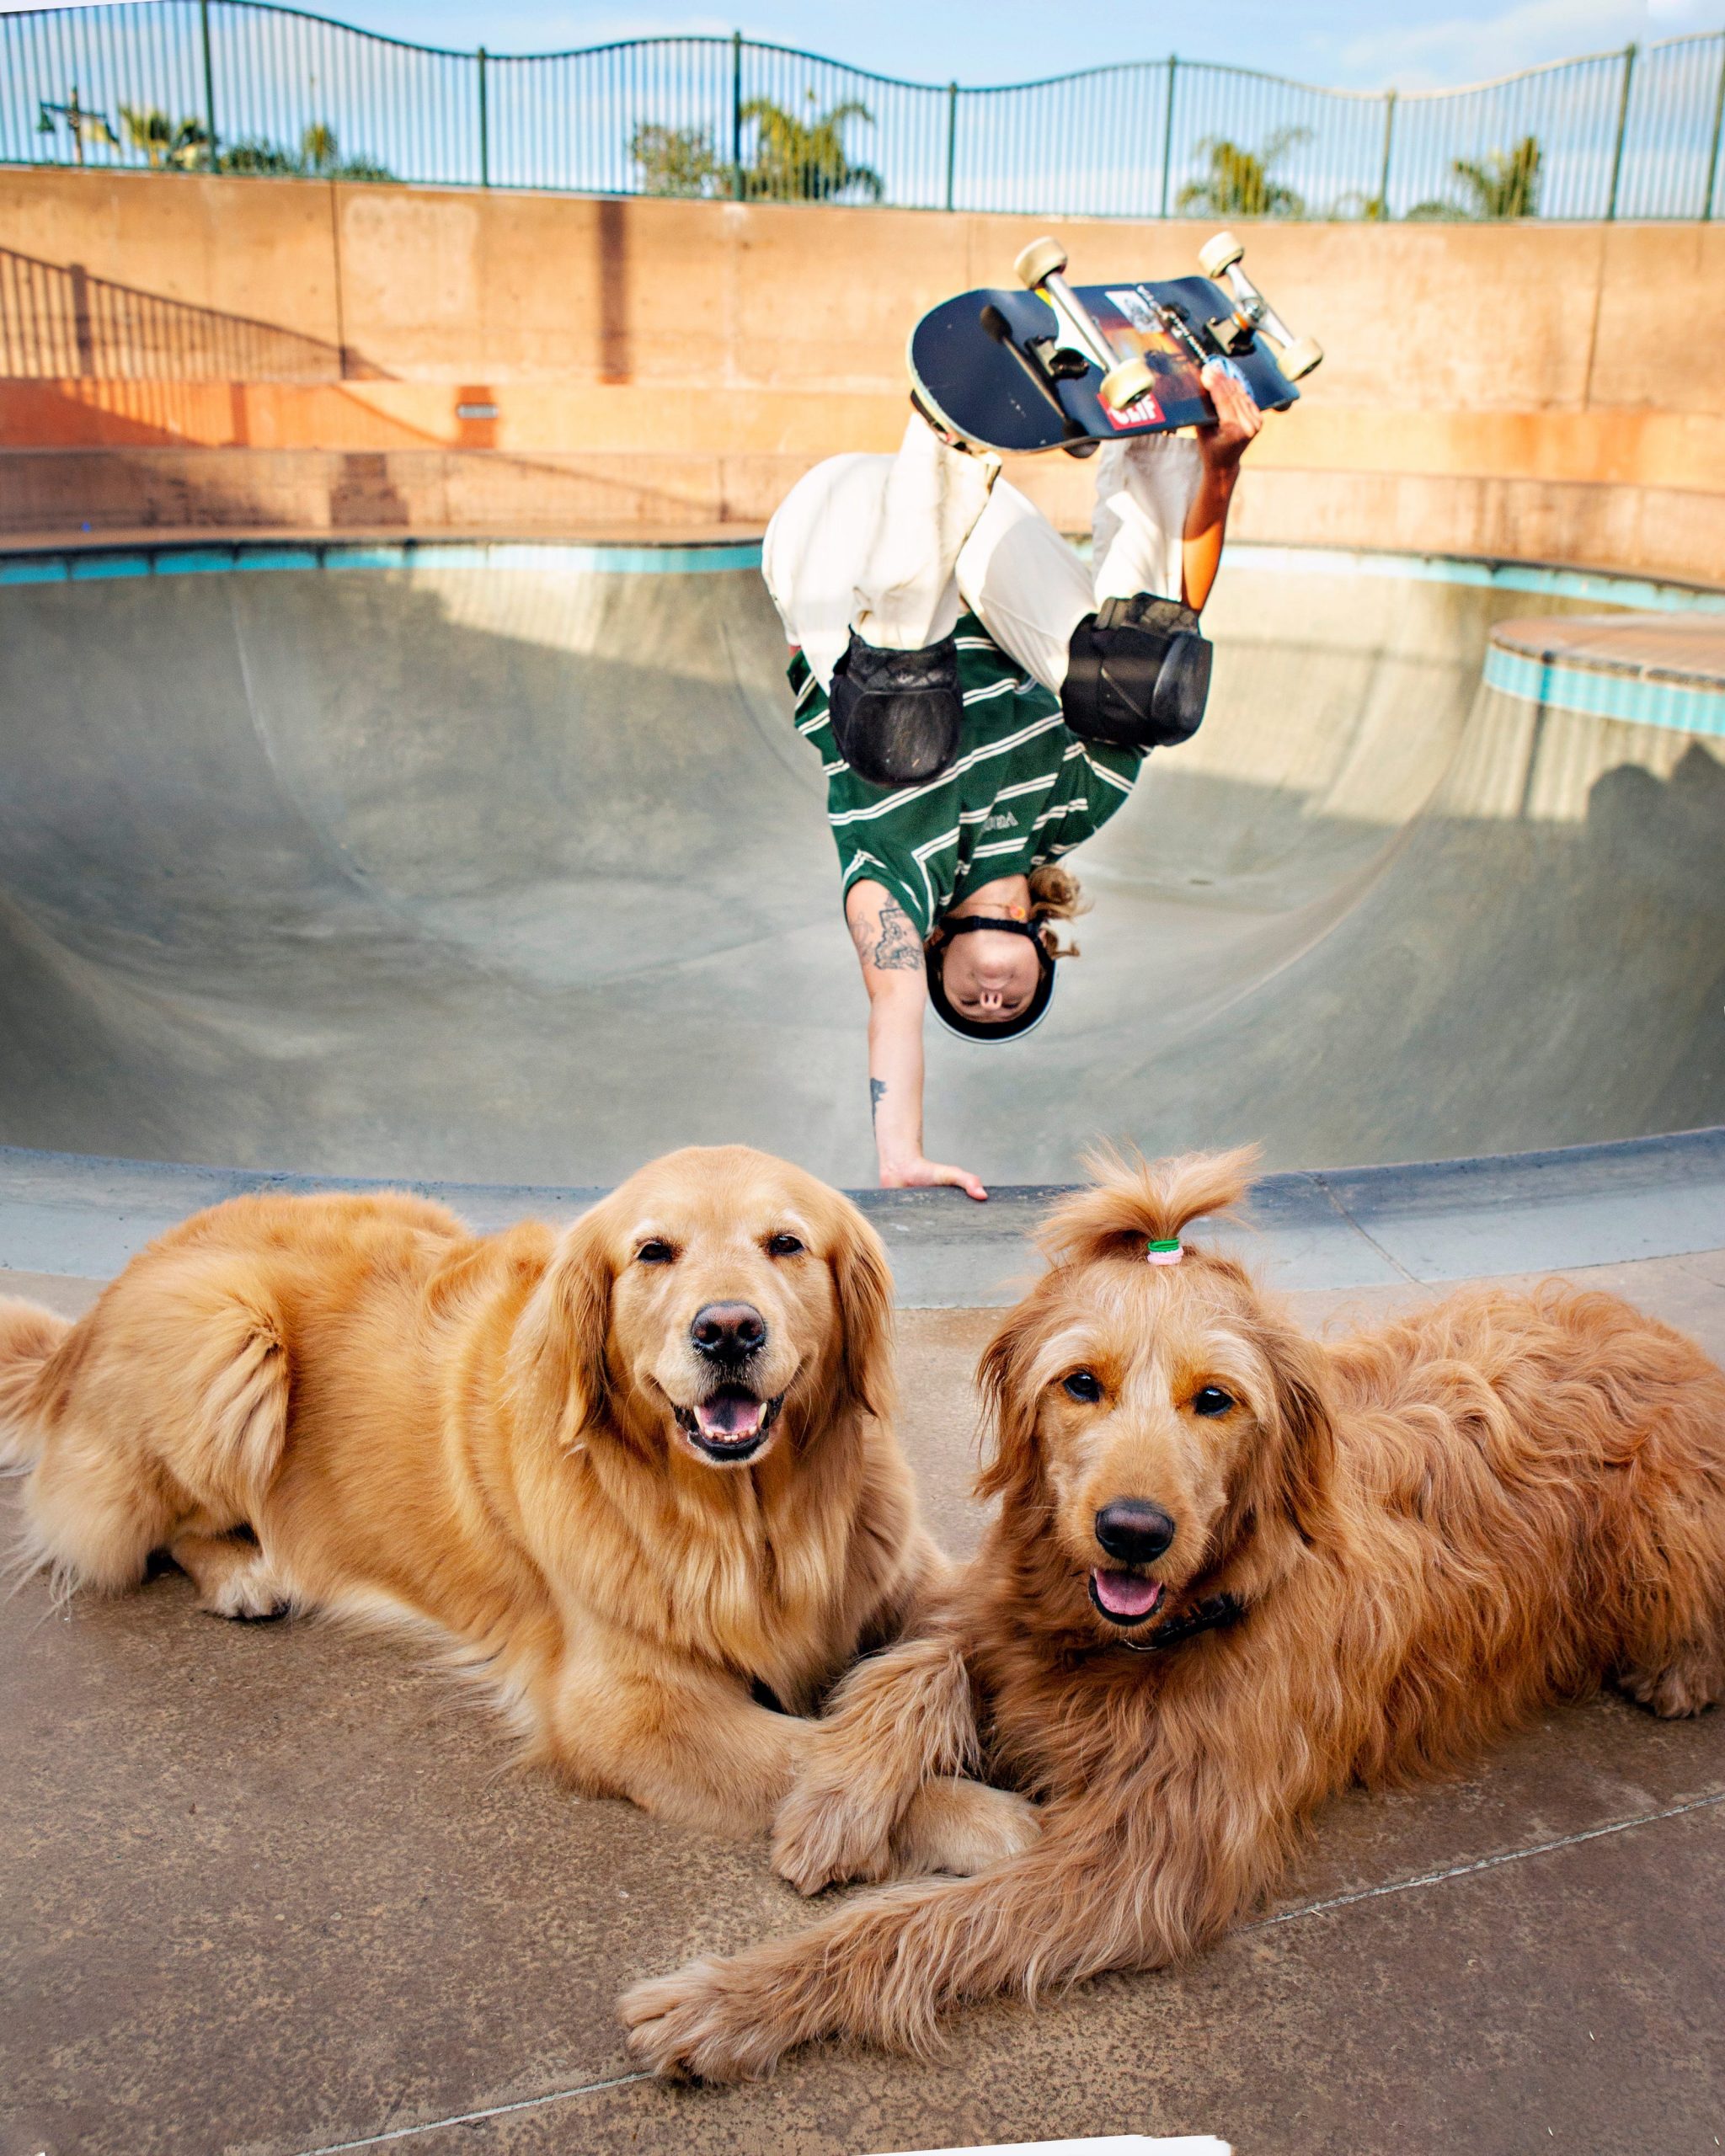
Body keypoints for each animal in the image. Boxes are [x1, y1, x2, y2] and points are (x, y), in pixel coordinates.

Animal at [621, 1146, 1725, 2069]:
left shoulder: (1145, 1860)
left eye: (1215, 1399)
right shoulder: (1004, 1615)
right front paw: (832, 1808)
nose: (1131, 1532)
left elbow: (909, 1925)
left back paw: (1678, 1669)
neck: (1143, 1636)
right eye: (1080, 1383)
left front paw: (736, 1998)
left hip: (1663, 1533)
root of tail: (1652, 1331)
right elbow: (914, 1662)